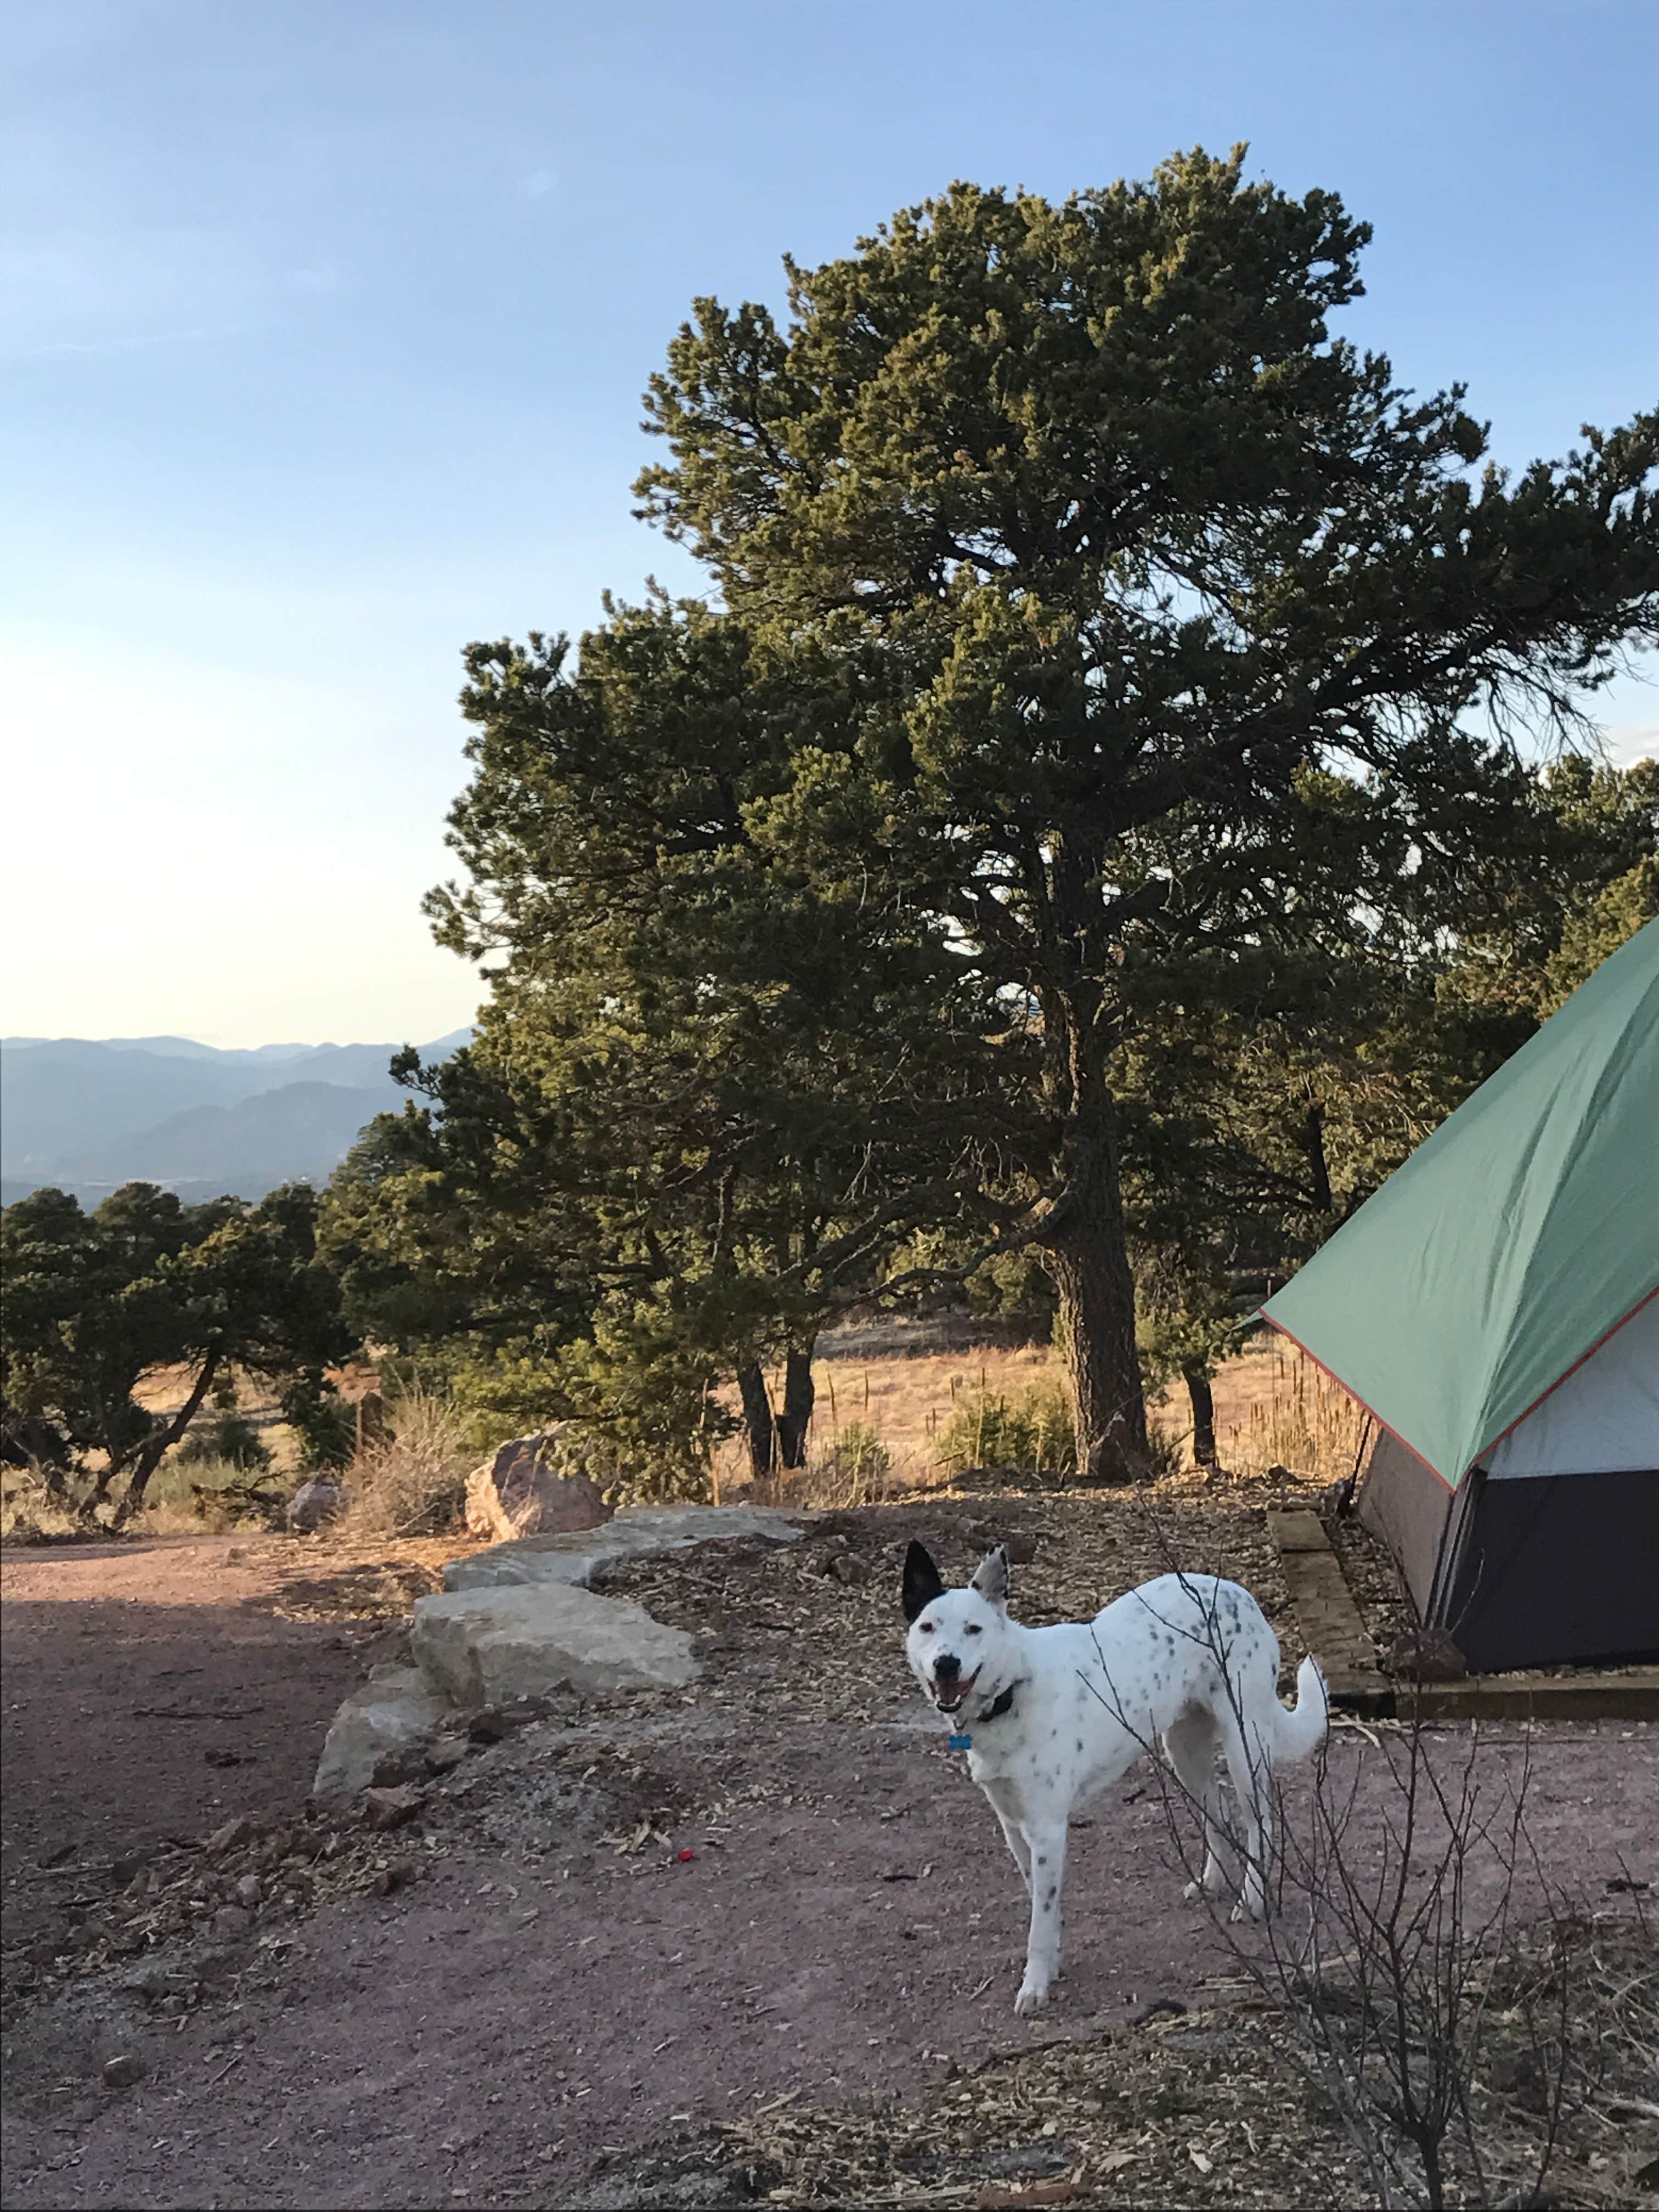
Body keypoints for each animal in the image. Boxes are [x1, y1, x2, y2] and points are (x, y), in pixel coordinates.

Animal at [902, 1548, 1336, 2017]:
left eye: (974, 1629)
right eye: (927, 1627)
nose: (946, 1664)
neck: (1011, 1690)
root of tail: (1242, 1595)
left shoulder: (1047, 1830)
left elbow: (1040, 1919)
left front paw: (1035, 1984)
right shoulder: (1013, 1826)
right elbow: (1040, 1904)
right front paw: (1051, 1964)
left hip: (1244, 1742)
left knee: (1261, 1822)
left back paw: (1252, 1899)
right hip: (1182, 1746)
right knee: (1217, 1808)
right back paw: (1212, 1881)